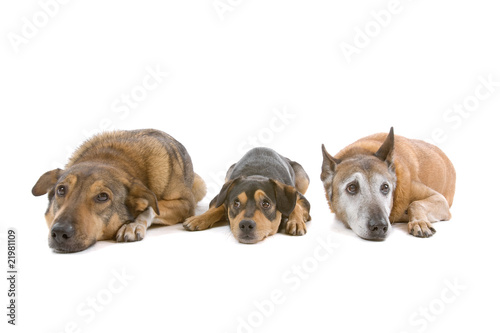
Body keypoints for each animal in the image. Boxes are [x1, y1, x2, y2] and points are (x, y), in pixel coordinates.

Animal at [31, 130, 207, 252]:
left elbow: (151, 206)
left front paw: (134, 225)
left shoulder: (185, 205)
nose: (60, 232)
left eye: (102, 196)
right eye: (61, 190)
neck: (109, 157)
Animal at [182, 147, 310, 243]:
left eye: (266, 204)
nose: (246, 225)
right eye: (236, 203)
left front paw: (296, 222)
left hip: (304, 179)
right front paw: (198, 219)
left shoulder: (300, 197)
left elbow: (296, 206)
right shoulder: (219, 196)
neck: (257, 175)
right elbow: (217, 207)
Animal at [322, 127, 456, 239]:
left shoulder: (440, 199)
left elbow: (415, 204)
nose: (379, 226)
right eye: (352, 187)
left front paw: (419, 222)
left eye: (385, 187)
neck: (360, 152)